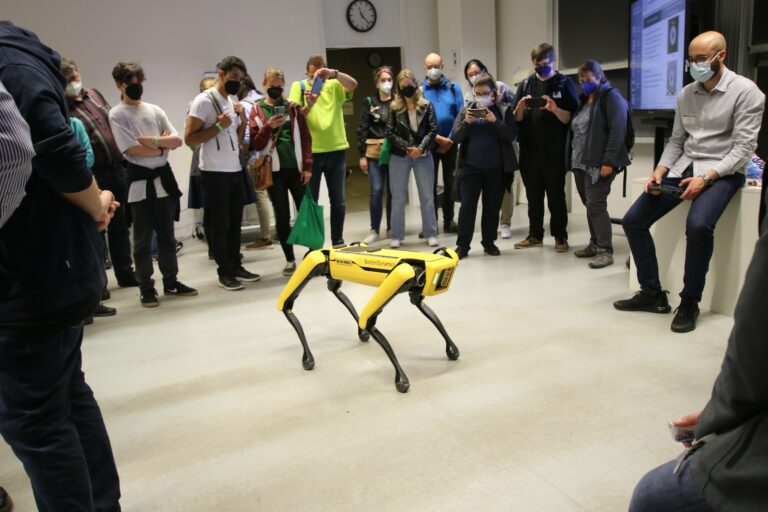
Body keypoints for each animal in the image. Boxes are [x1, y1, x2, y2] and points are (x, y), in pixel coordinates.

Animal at [276, 244, 456, 392]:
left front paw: (452, 349)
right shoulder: (402, 274)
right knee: (287, 303)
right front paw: (401, 379)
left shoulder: (410, 287)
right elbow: (368, 319)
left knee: (334, 290)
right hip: (316, 261)